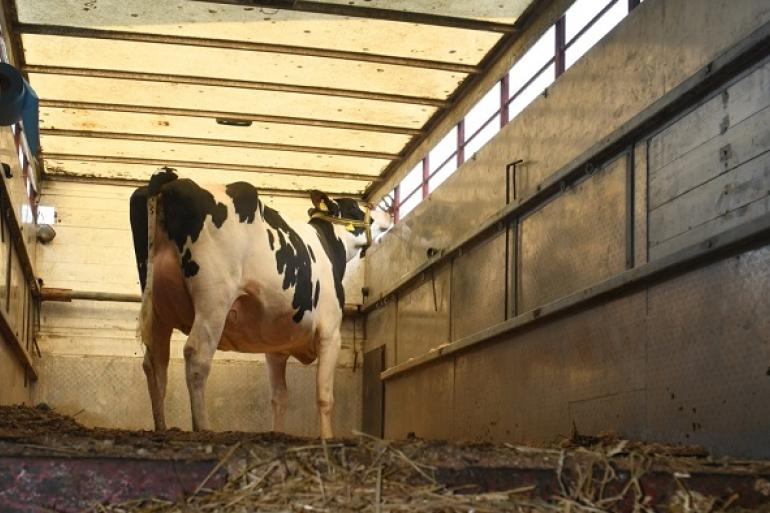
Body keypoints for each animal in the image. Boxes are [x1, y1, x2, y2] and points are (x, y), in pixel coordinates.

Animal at [130, 167, 390, 436]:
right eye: (355, 207)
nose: (389, 211)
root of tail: (171, 177)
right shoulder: (330, 332)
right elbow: (325, 396)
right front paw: (327, 438)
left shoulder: (276, 347)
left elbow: (279, 398)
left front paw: (278, 433)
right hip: (213, 299)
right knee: (196, 356)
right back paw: (203, 427)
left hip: (158, 306)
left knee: (155, 363)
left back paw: (161, 427)